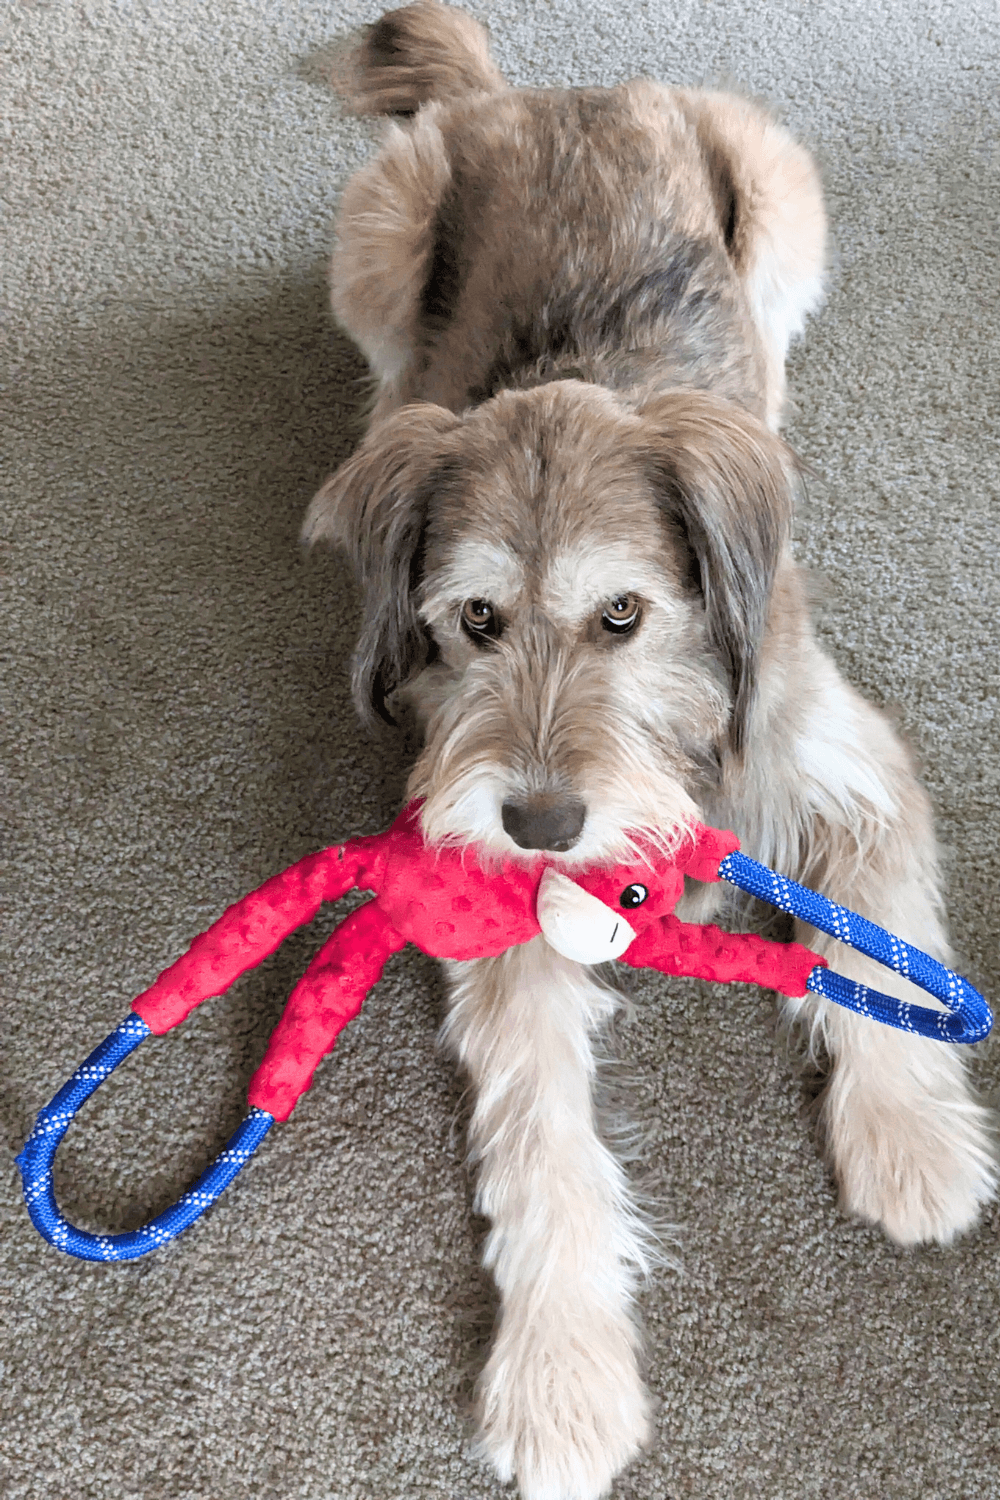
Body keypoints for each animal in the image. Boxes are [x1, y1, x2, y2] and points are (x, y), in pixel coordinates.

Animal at [308, 5, 995, 1494]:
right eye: (475, 619)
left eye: (623, 612)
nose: (543, 825)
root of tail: (545, 90)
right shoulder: (498, 905)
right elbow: (538, 1142)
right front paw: (561, 1377)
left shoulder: (854, 770)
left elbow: (881, 943)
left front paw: (910, 1140)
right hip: (378, 228)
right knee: (386, 371)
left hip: (780, 191)